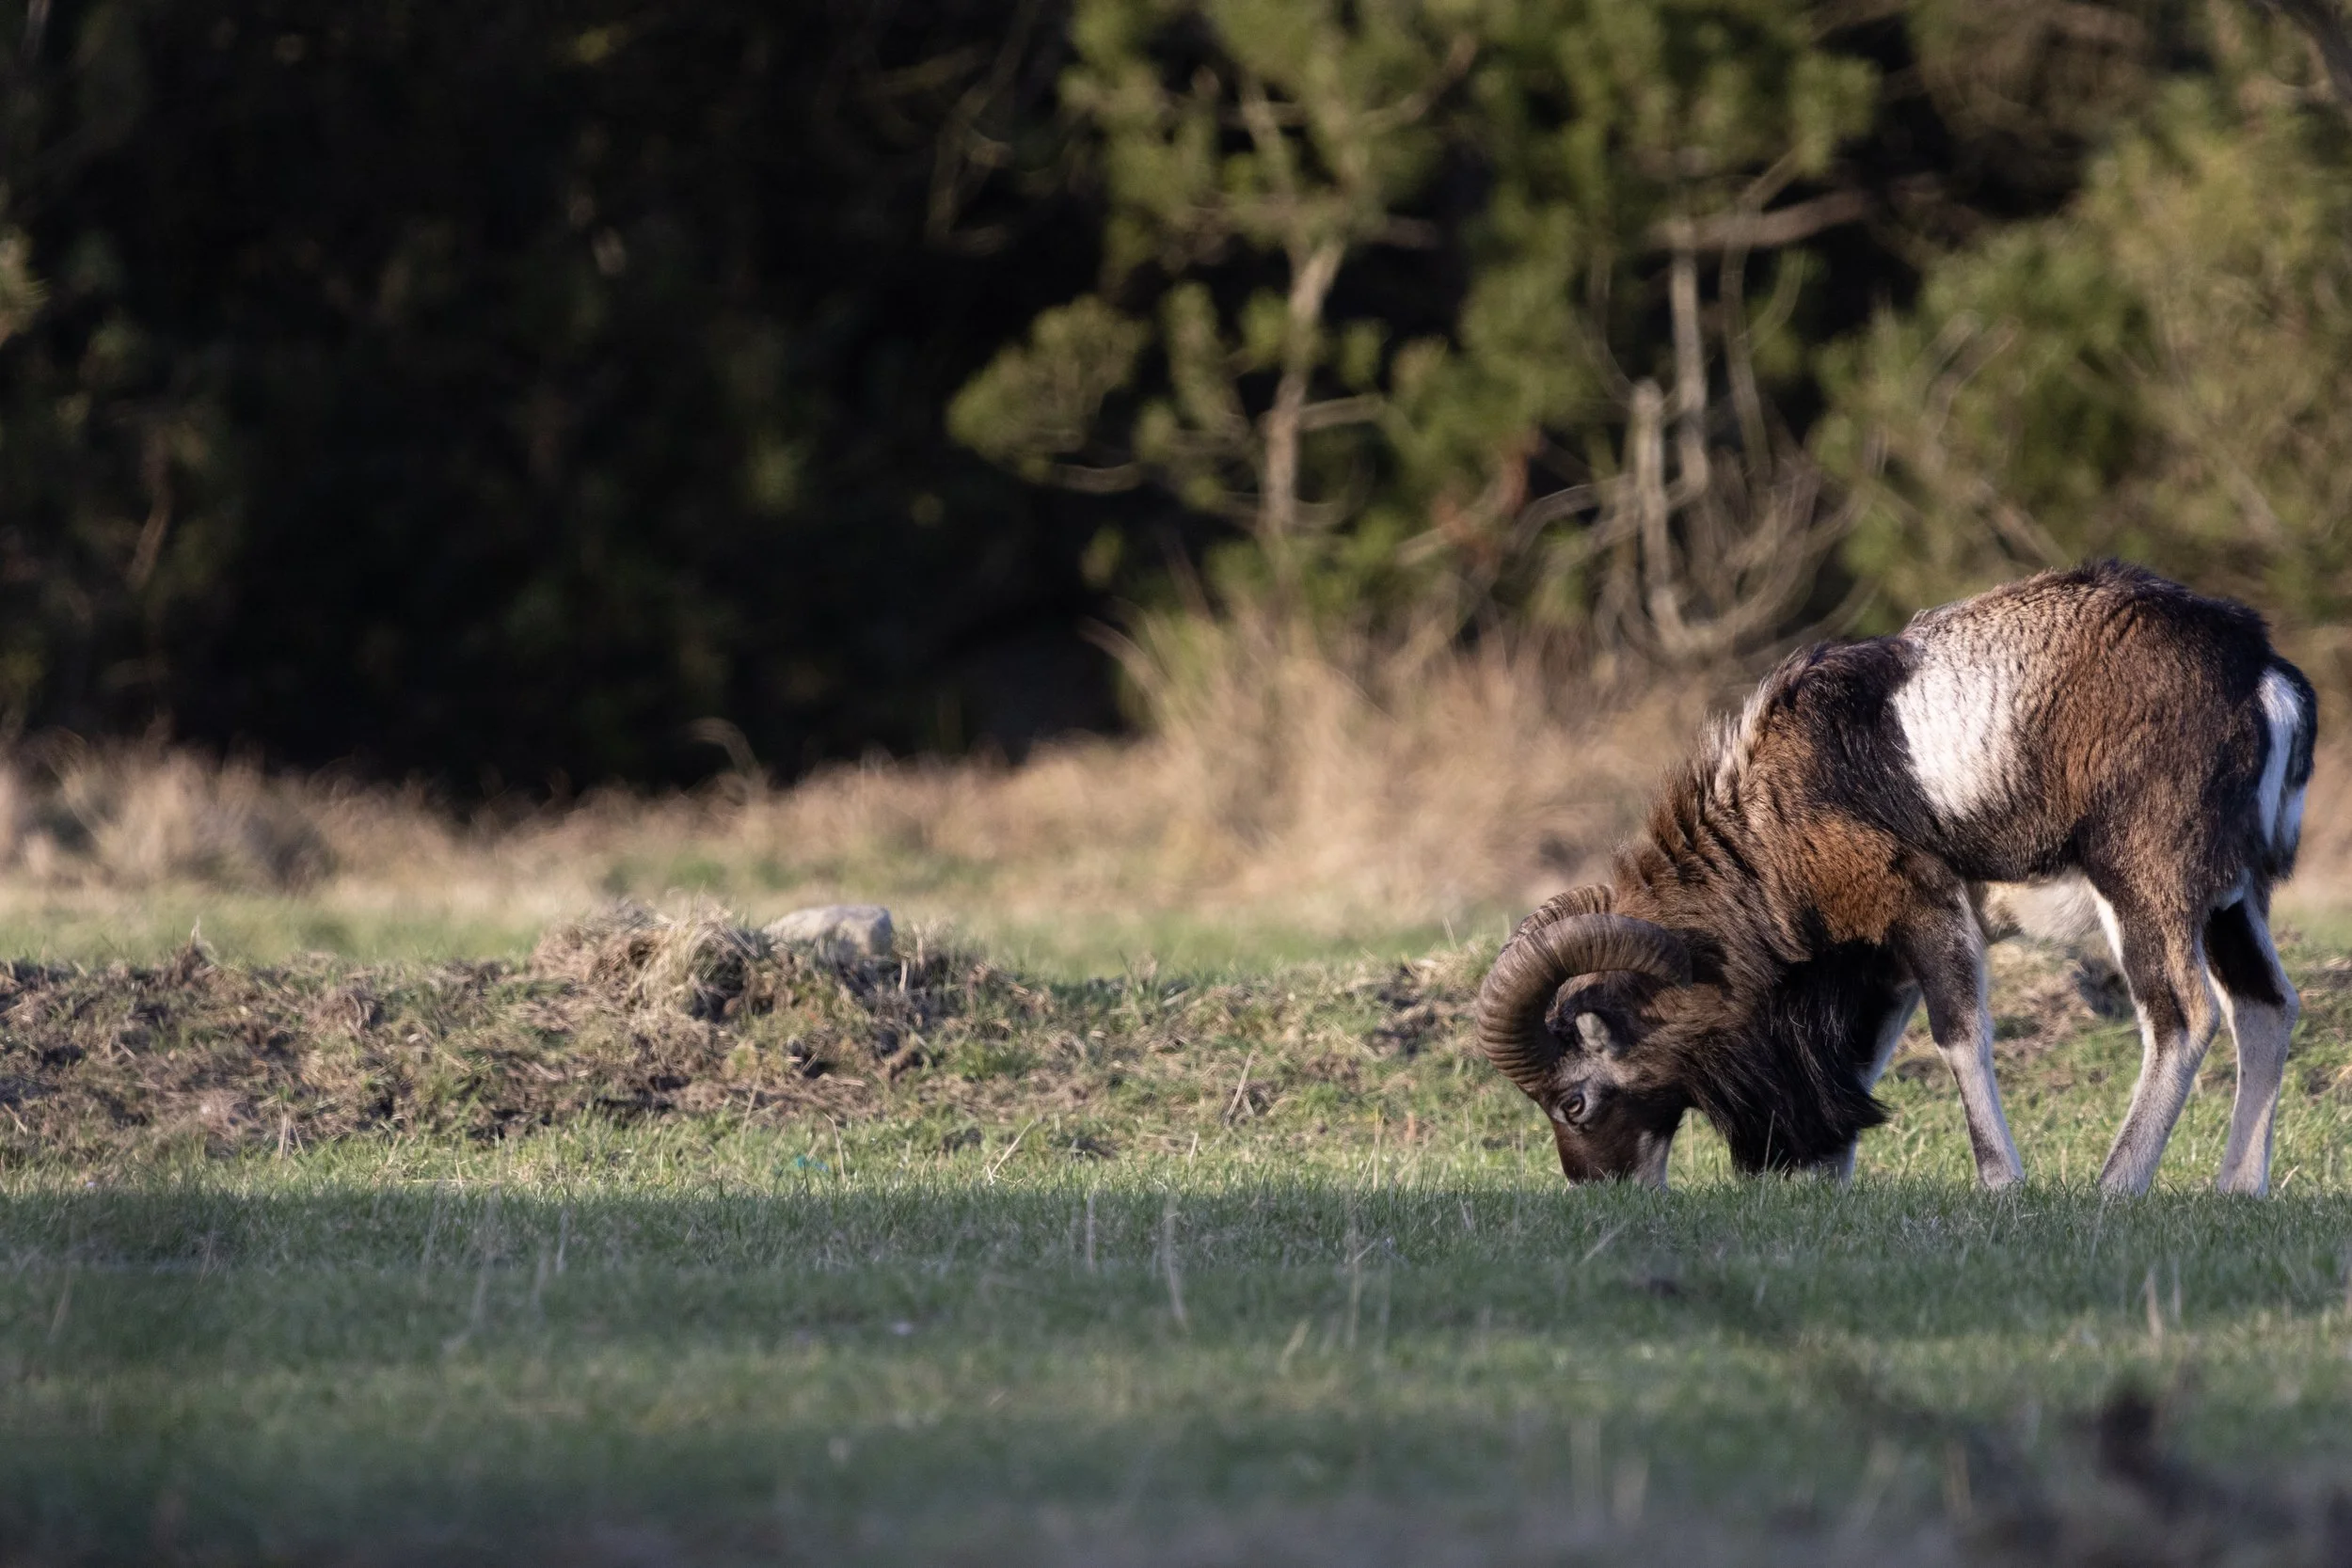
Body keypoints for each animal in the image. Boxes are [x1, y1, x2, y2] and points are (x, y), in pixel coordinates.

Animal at [1477, 561, 2316, 1195]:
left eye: (1574, 1100)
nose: (1602, 1188)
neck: (1772, 811)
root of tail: (2261, 679)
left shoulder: (1922, 909)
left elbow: (1959, 1034)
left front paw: (2002, 1183)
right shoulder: (1883, 955)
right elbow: (1867, 1053)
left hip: (2144, 891)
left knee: (2184, 1015)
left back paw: (2116, 1185)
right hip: (2233, 905)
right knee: (2266, 1007)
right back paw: (2237, 1188)